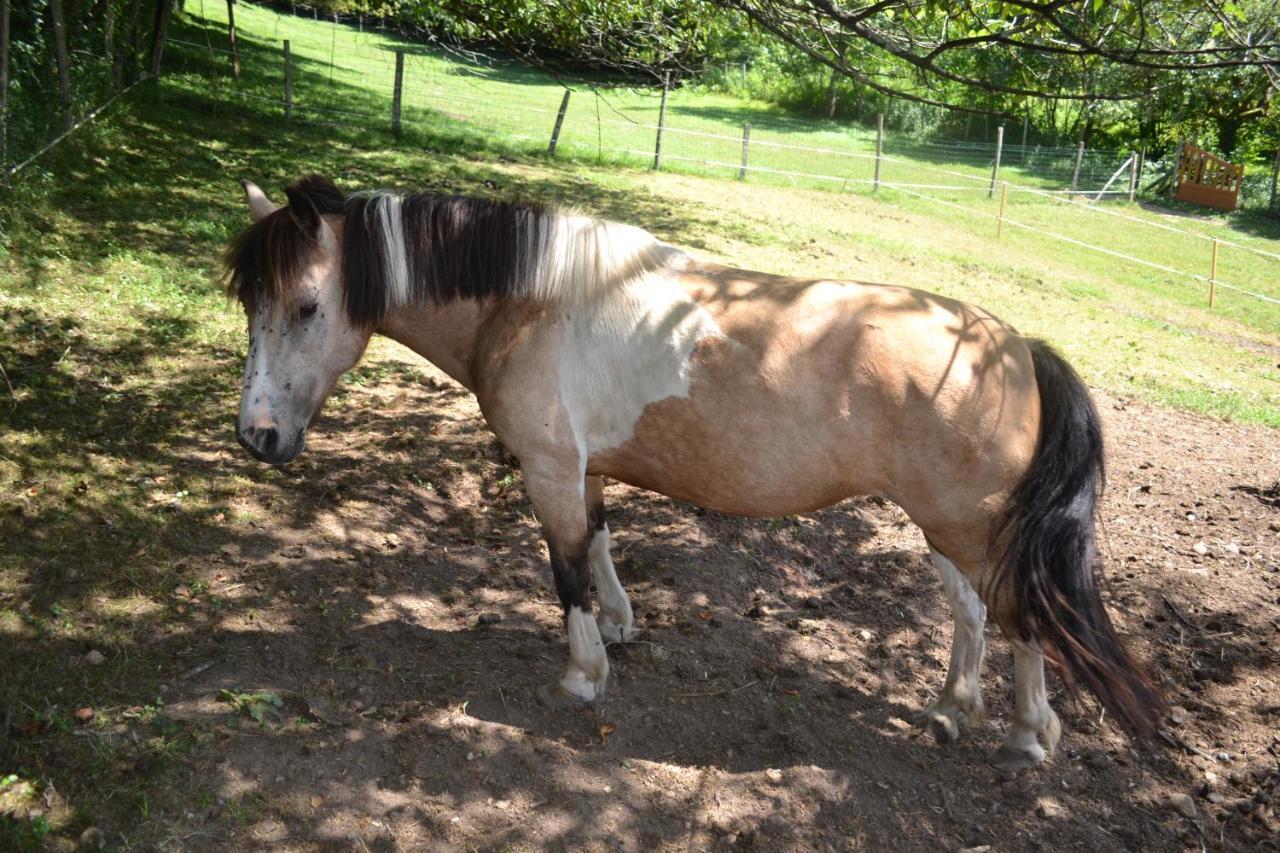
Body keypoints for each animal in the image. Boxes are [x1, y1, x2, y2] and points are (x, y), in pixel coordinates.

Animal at [227, 174, 1162, 768]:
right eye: (249, 304)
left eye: (306, 306)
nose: (257, 435)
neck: (528, 303)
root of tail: (1015, 346)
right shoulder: (584, 470)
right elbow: (601, 547)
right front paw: (620, 627)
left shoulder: (549, 470)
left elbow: (565, 569)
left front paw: (582, 674)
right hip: (945, 526)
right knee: (972, 612)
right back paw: (950, 709)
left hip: (969, 524)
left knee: (1020, 618)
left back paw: (1030, 734)